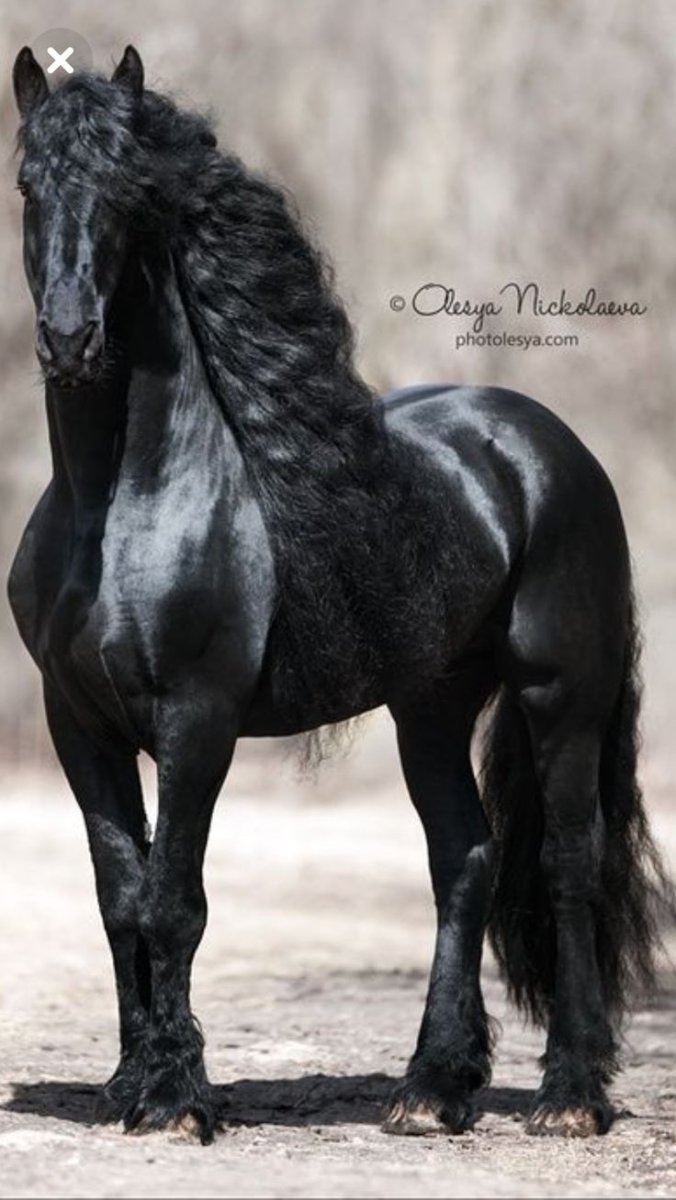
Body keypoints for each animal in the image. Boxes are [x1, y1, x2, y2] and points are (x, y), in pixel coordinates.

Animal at [8, 44, 668, 1145]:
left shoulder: (198, 720)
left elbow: (174, 901)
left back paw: (571, 1097)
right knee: (465, 860)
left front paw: (178, 1100)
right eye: (26, 186)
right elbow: (120, 897)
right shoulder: (80, 725)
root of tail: (542, 443)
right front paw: (130, 1085)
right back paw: (431, 1091)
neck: (124, 504)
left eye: (127, 194)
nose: (68, 339)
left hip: (558, 698)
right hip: (430, 705)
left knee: (567, 863)